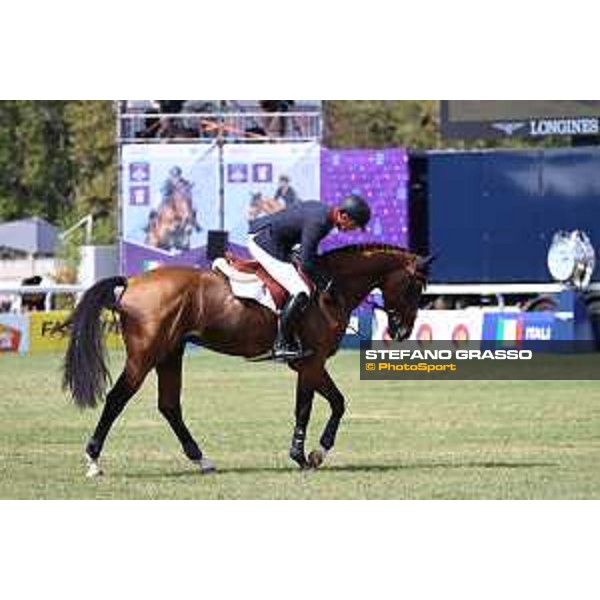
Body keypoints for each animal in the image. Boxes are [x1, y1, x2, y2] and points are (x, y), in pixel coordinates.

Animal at [61, 244, 428, 478]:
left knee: (169, 406)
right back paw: (93, 461)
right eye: (414, 287)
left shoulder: (309, 364)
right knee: (117, 399)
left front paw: (310, 453)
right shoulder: (311, 363)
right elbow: (318, 406)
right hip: (145, 355)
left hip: (170, 353)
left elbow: (324, 405)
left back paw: (202, 460)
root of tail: (133, 281)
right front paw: (307, 454)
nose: (402, 331)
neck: (330, 289)